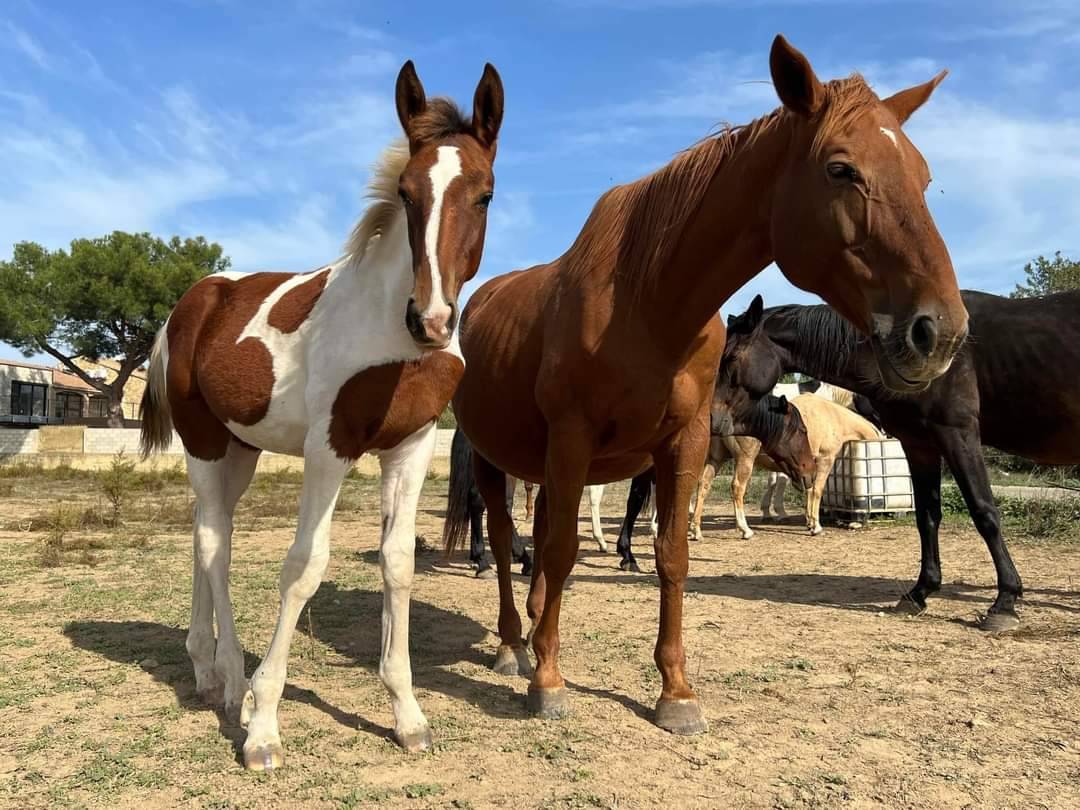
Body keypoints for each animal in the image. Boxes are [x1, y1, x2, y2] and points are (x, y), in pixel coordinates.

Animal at [138, 61, 504, 770]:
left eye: (485, 195)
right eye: (406, 192)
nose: (432, 319)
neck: (388, 330)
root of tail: (190, 303)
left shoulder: (412, 445)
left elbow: (398, 563)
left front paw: (407, 714)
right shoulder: (329, 448)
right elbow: (304, 566)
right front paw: (263, 725)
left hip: (240, 450)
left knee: (205, 535)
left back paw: (205, 671)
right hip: (203, 444)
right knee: (215, 545)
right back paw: (232, 682)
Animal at [445, 34, 967, 735]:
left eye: (924, 175)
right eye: (841, 169)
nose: (940, 331)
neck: (647, 302)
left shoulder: (681, 445)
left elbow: (669, 555)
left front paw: (675, 691)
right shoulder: (574, 438)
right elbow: (559, 551)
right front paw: (549, 682)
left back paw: (530, 633)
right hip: (497, 458)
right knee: (504, 541)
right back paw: (511, 646)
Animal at [712, 290, 1080, 631]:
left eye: (730, 358)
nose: (713, 419)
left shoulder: (958, 435)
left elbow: (984, 512)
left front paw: (1005, 601)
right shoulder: (920, 444)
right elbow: (927, 517)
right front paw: (920, 593)